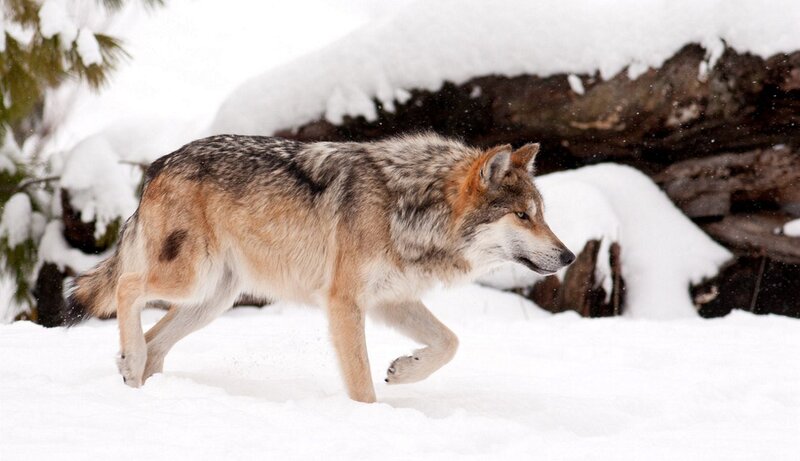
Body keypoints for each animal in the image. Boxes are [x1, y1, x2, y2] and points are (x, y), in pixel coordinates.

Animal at [66, 133, 574, 403]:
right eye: (523, 216)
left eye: (542, 214)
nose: (569, 256)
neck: (408, 206)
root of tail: (157, 165)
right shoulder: (345, 303)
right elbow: (362, 382)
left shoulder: (390, 300)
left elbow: (450, 342)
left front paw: (404, 370)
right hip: (192, 279)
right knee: (128, 288)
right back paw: (132, 365)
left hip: (212, 300)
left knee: (156, 342)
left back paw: (138, 383)